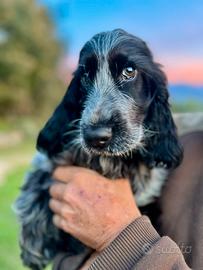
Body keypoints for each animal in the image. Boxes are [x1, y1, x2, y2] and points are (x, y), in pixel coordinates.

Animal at [14, 29, 182, 270]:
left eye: (129, 71)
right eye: (85, 76)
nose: (96, 137)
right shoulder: (50, 162)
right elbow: (34, 188)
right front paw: (32, 248)